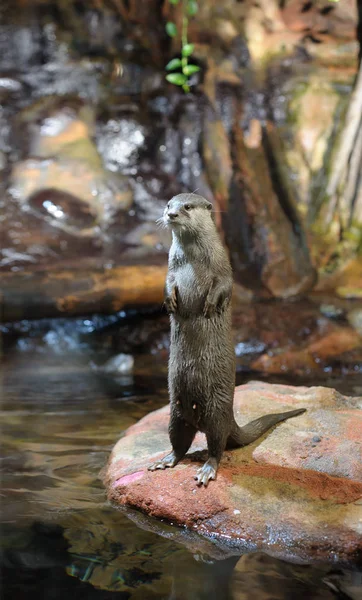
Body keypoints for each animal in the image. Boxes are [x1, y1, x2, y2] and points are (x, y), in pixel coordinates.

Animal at [148, 195, 306, 486]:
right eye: (168, 204)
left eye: (188, 207)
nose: (172, 214)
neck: (193, 260)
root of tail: (230, 417)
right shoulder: (171, 269)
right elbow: (167, 282)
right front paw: (170, 300)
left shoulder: (223, 266)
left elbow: (223, 285)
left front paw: (210, 304)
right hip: (175, 413)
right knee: (179, 443)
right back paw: (166, 460)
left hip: (216, 411)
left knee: (216, 446)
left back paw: (207, 469)